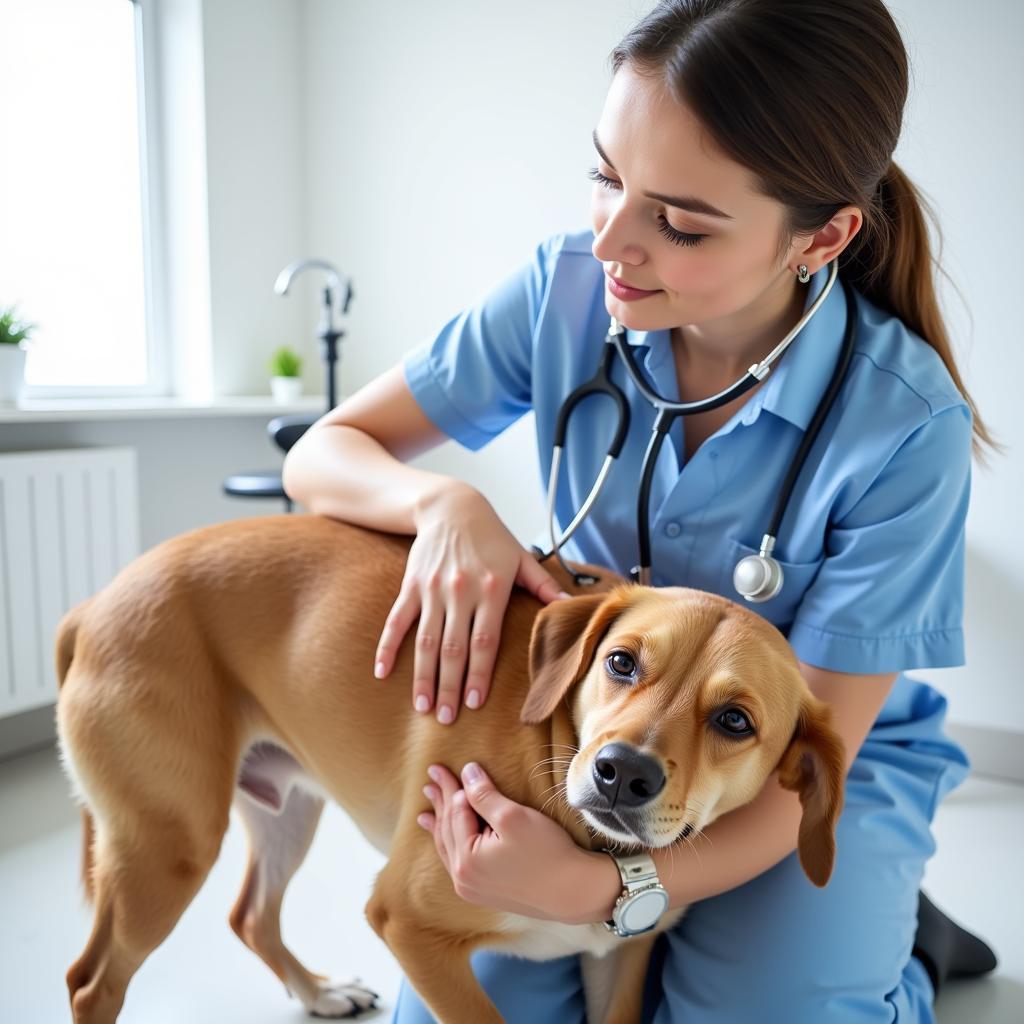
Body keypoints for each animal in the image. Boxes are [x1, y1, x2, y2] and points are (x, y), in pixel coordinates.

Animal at [51, 516, 843, 1019]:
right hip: (171, 847)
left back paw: (318, 994)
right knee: (91, 983)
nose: (621, 772)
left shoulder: (617, 961)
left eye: (734, 721)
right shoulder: (407, 923)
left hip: (287, 811)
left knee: (250, 916)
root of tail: (94, 604)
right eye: (622, 662)